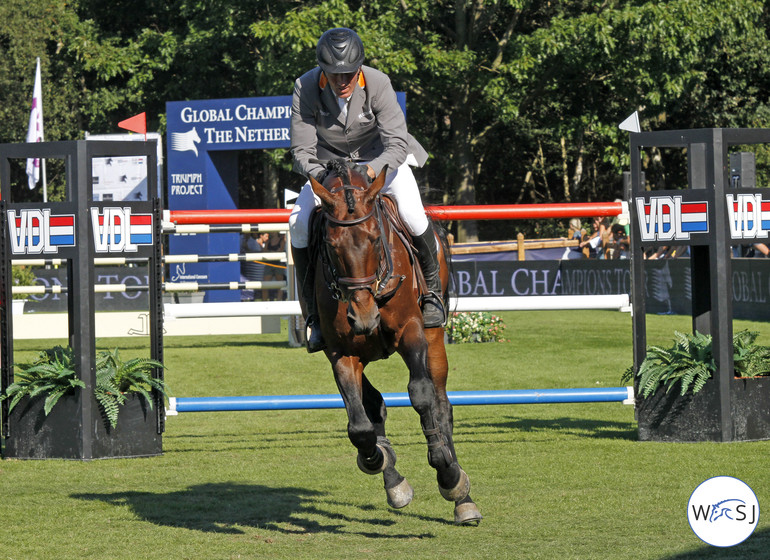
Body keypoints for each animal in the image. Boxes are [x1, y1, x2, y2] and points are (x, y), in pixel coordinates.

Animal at [306, 159, 480, 524]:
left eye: (375, 239)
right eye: (331, 245)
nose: (364, 318)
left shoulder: (411, 331)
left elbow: (422, 395)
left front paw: (447, 474)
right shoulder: (341, 353)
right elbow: (360, 425)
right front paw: (378, 461)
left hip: (434, 338)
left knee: (441, 403)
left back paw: (462, 495)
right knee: (374, 407)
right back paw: (392, 477)